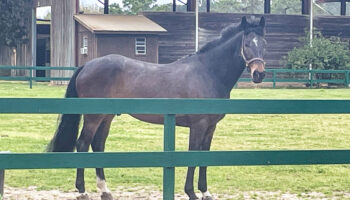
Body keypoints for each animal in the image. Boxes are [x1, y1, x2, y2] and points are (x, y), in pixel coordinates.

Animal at [45, 16, 266, 200]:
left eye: (264, 44)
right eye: (247, 44)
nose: (259, 74)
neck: (207, 72)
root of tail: (87, 65)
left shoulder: (211, 127)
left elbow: (205, 156)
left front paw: (206, 192)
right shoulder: (198, 126)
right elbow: (193, 154)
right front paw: (191, 193)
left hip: (106, 117)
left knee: (98, 145)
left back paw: (105, 190)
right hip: (93, 116)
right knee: (83, 144)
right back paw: (82, 191)